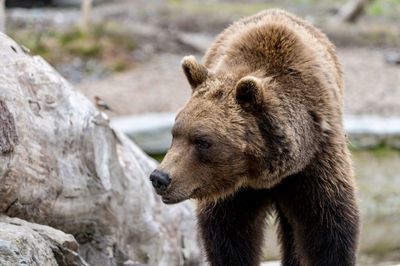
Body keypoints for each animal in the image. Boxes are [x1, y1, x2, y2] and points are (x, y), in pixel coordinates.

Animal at [149, 8, 360, 266]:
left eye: (203, 141)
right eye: (175, 133)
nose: (160, 177)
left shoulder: (316, 160)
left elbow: (327, 228)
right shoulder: (232, 192)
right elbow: (229, 235)